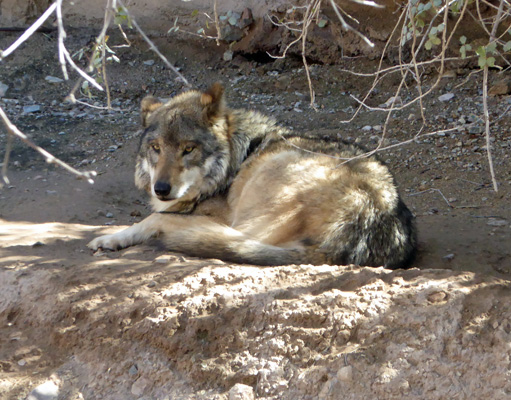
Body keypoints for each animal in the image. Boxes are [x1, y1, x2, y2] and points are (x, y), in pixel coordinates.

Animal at [87, 82, 416, 268]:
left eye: (188, 149)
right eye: (155, 148)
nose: (161, 189)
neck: (235, 158)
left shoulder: (216, 215)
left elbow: (152, 218)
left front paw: (111, 237)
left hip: (270, 177)